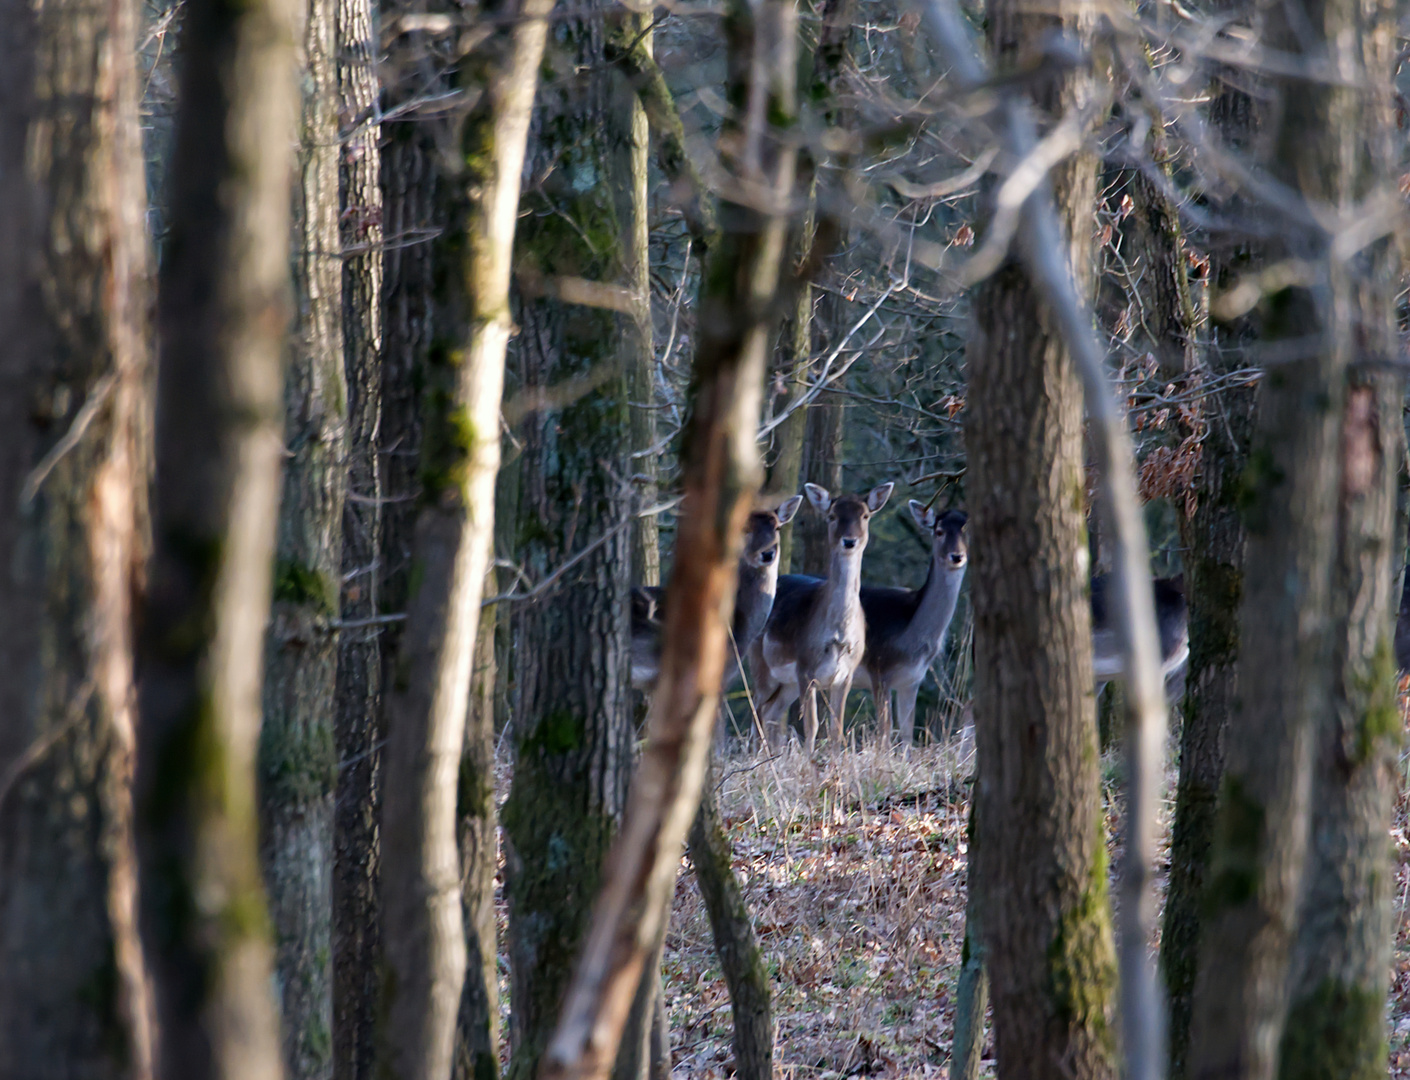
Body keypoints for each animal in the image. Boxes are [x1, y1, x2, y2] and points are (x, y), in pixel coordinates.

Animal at [750, 482, 891, 755]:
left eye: (865, 516)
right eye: (832, 516)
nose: (849, 541)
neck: (837, 635)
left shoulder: (846, 674)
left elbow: (836, 728)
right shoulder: (806, 669)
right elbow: (812, 725)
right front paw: (809, 762)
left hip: (787, 684)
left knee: (771, 712)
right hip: (762, 666)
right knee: (758, 711)